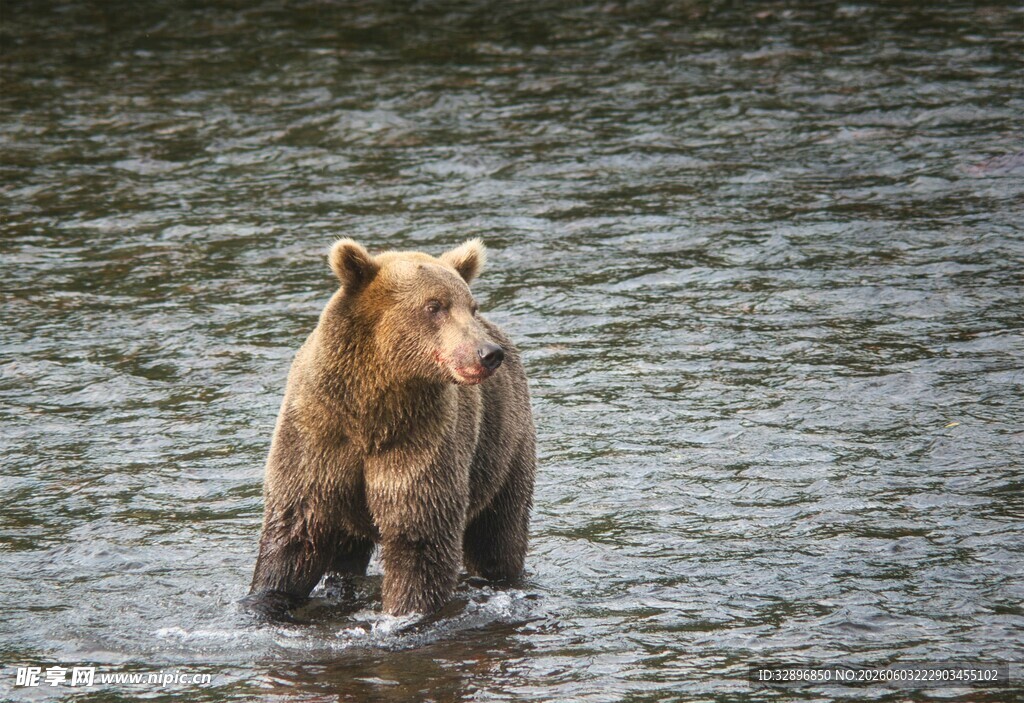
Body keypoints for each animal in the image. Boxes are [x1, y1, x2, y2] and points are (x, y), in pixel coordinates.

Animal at [245, 238, 536, 619]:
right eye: (434, 306)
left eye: (471, 306)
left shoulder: (419, 439)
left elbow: (418, 537)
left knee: (499, 533)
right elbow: (296, 533)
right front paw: (266, 600)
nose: (487, 353)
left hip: (504, 445)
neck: (371, 410)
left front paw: (404, 614)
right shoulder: (317, 436)